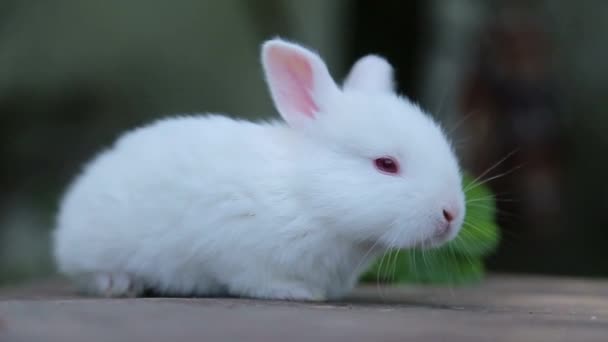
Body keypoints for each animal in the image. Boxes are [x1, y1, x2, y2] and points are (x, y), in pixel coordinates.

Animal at [54, 38, 466, 300]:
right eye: (386, 164)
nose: (451, 214)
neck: (308, 198)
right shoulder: (237, 250)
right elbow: (255, 281)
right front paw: (300, 293)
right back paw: (118, 284)